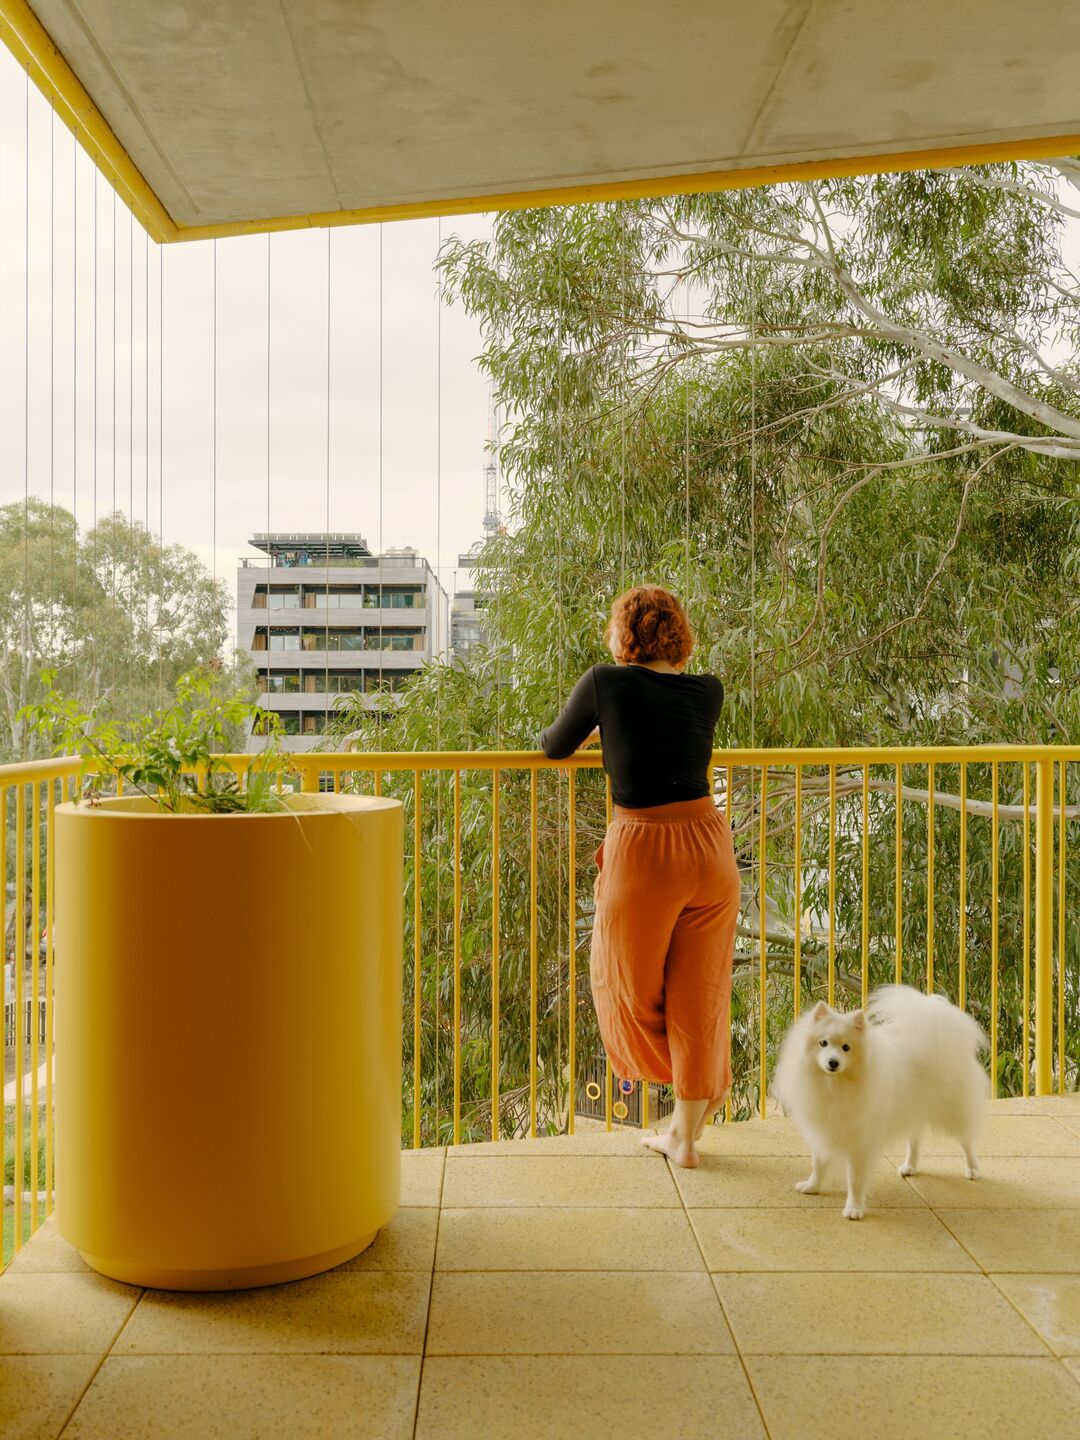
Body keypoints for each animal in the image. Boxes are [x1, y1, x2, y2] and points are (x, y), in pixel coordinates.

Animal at [771, 984, 996, 1221]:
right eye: (823, 1043)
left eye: (846, 1047)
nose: (833, 1062)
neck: (834, 1085)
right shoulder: (821, 1130)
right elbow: (818, 1164)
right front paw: (812, 1186)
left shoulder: (860, 1141)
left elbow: (855, 1179)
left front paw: (854, 1209)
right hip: (911, 1107)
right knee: (915, 1139)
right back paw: (910, 1166)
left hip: (951, 1110)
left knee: (966, 1141)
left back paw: (973, 1169)